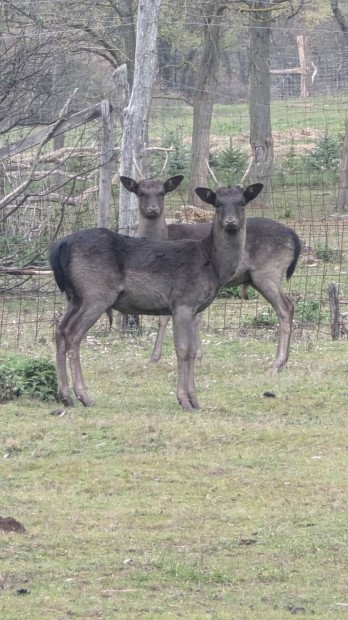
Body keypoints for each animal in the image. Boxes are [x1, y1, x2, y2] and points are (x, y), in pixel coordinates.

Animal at [49, 180, 260, 412]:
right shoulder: (183, 303)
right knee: (73, 334)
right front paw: (183, 400)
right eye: (218, 204)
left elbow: (192, 351)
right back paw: (84, 396)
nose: (230, 222)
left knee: (60, 331)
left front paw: (195, 401)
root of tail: (59, 247)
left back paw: (65, 396)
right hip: (96, 294)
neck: (213, 266)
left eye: (242, 202)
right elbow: (183, 349)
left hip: (74, 297)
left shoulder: (194, 308)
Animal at [120, 174, 302, 370]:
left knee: (286, 307)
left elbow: (166, 318)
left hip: (268, 272)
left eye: (162, 193)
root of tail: (294, 237)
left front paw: (156, 357)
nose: (153, 209)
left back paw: (277, 362)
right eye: (141, 193)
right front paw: (197, 355)